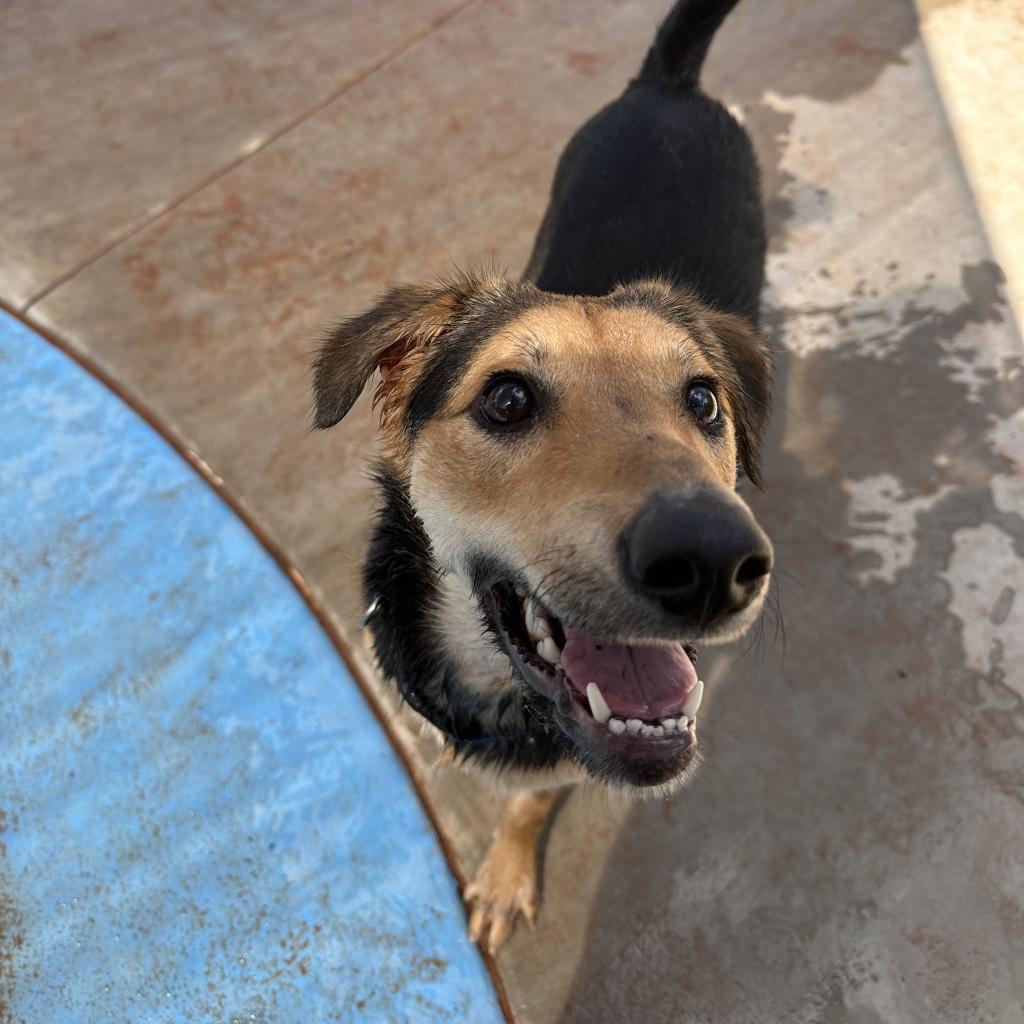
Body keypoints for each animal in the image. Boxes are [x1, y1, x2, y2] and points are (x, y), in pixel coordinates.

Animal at [307, 0, 770, 950]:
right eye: (507, 398)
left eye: (703, 399)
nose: (714, 558)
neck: (491, 686)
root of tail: (669, 85)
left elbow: (529, 801)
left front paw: (506, 872)